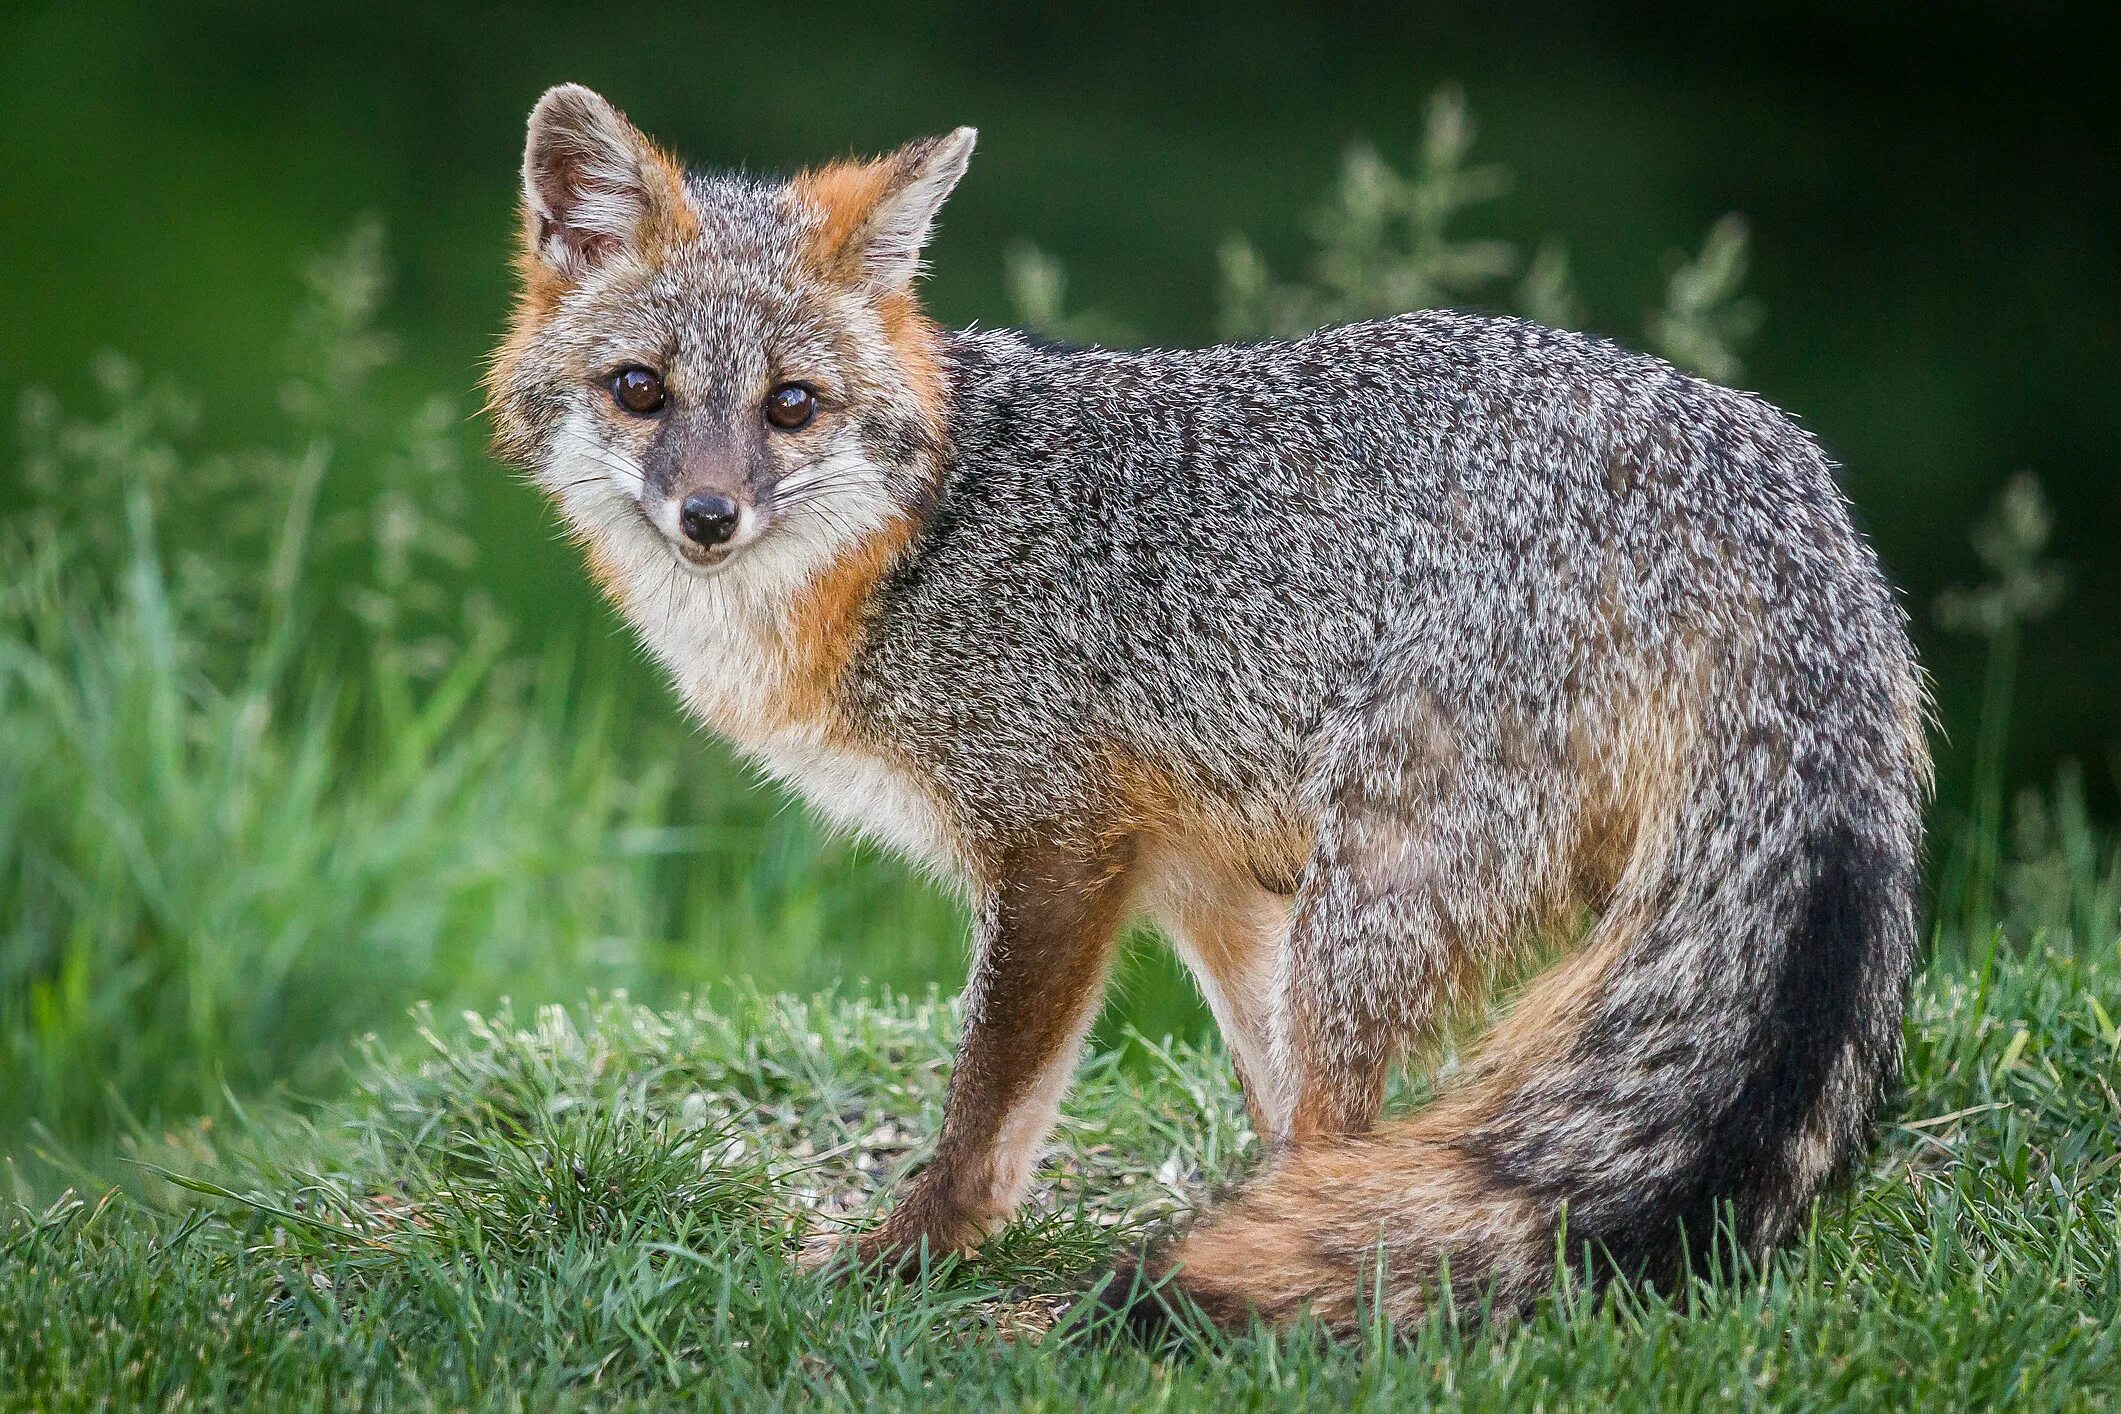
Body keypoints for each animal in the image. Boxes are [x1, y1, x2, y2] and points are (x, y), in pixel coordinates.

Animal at [487, 83, 1934, 1331]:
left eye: (791, 406)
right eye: (640, 390)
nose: (707, 515)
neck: (917, 541)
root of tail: (1770, 477)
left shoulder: (1059, 849)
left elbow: (990, 1108)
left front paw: (916, 1250)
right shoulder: (1200, 879)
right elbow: (1268, 1098)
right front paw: (1262, 1228)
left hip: (1375, 889)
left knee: (1352, 1110)